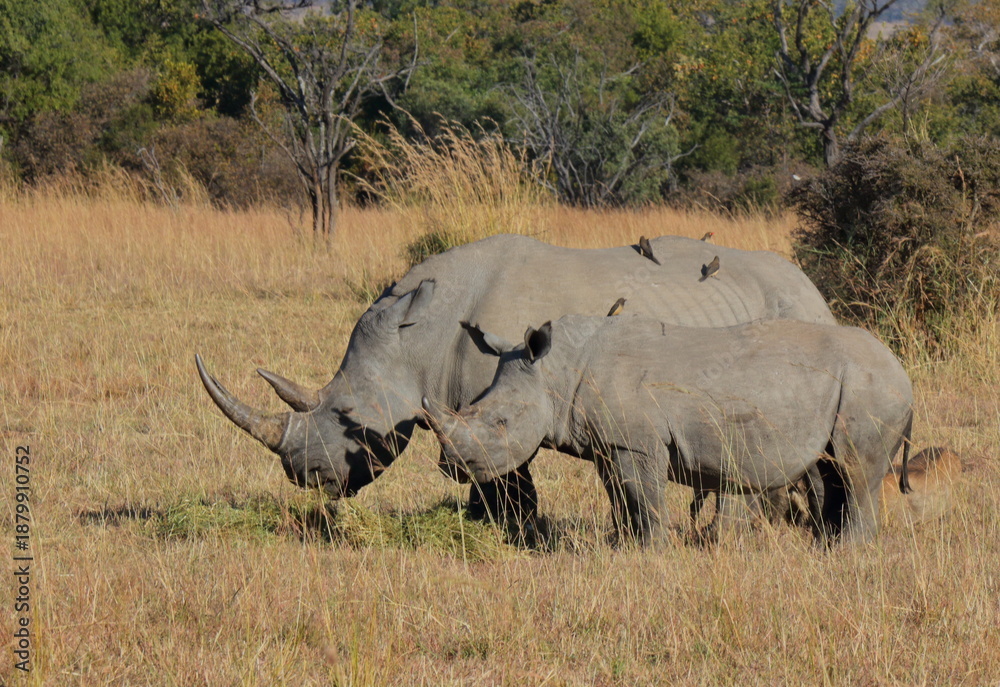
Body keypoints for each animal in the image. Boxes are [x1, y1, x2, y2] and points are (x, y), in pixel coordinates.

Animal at [196, 233, 836, 530]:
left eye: (346, 415)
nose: (303, 476)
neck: (417, 337)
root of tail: (814, 285)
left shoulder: (503, 399)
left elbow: (508, 479)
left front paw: (514, 532)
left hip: (798, 310)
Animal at [422, 314, 914, 546]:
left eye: (501, 422)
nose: (452, 467)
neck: (557, 372)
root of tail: (901, 369)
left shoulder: (638, 443)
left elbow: (645, 498)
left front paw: (651, 550)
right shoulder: (610, 444)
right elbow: (620, 497)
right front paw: (622, 545)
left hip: (870, 387)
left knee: (855, 470)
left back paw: (847, 551)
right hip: (853, 386)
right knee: (830, 470)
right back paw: (823, 546)